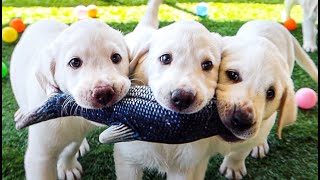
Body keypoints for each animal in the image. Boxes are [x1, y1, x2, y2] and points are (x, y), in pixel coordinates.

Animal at [10, 19, 130, 179]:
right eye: (74, 62)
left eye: (116, 57)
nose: (104, 93)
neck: (74, 117)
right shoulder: (40, 157)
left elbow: (71, 149)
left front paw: (68, 167)